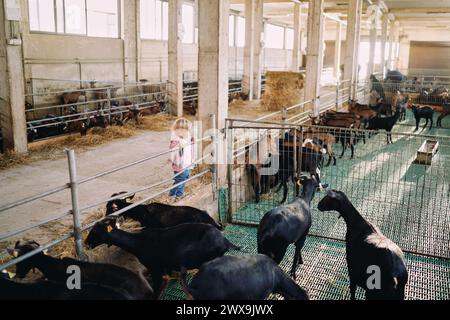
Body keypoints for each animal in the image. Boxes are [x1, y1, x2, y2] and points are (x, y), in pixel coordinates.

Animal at [84, 219, 239, 298]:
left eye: (95, 232)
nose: (86, 243)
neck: (137, 242)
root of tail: (225, 241)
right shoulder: (166, 266)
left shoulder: (155, 267)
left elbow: (159, 285)